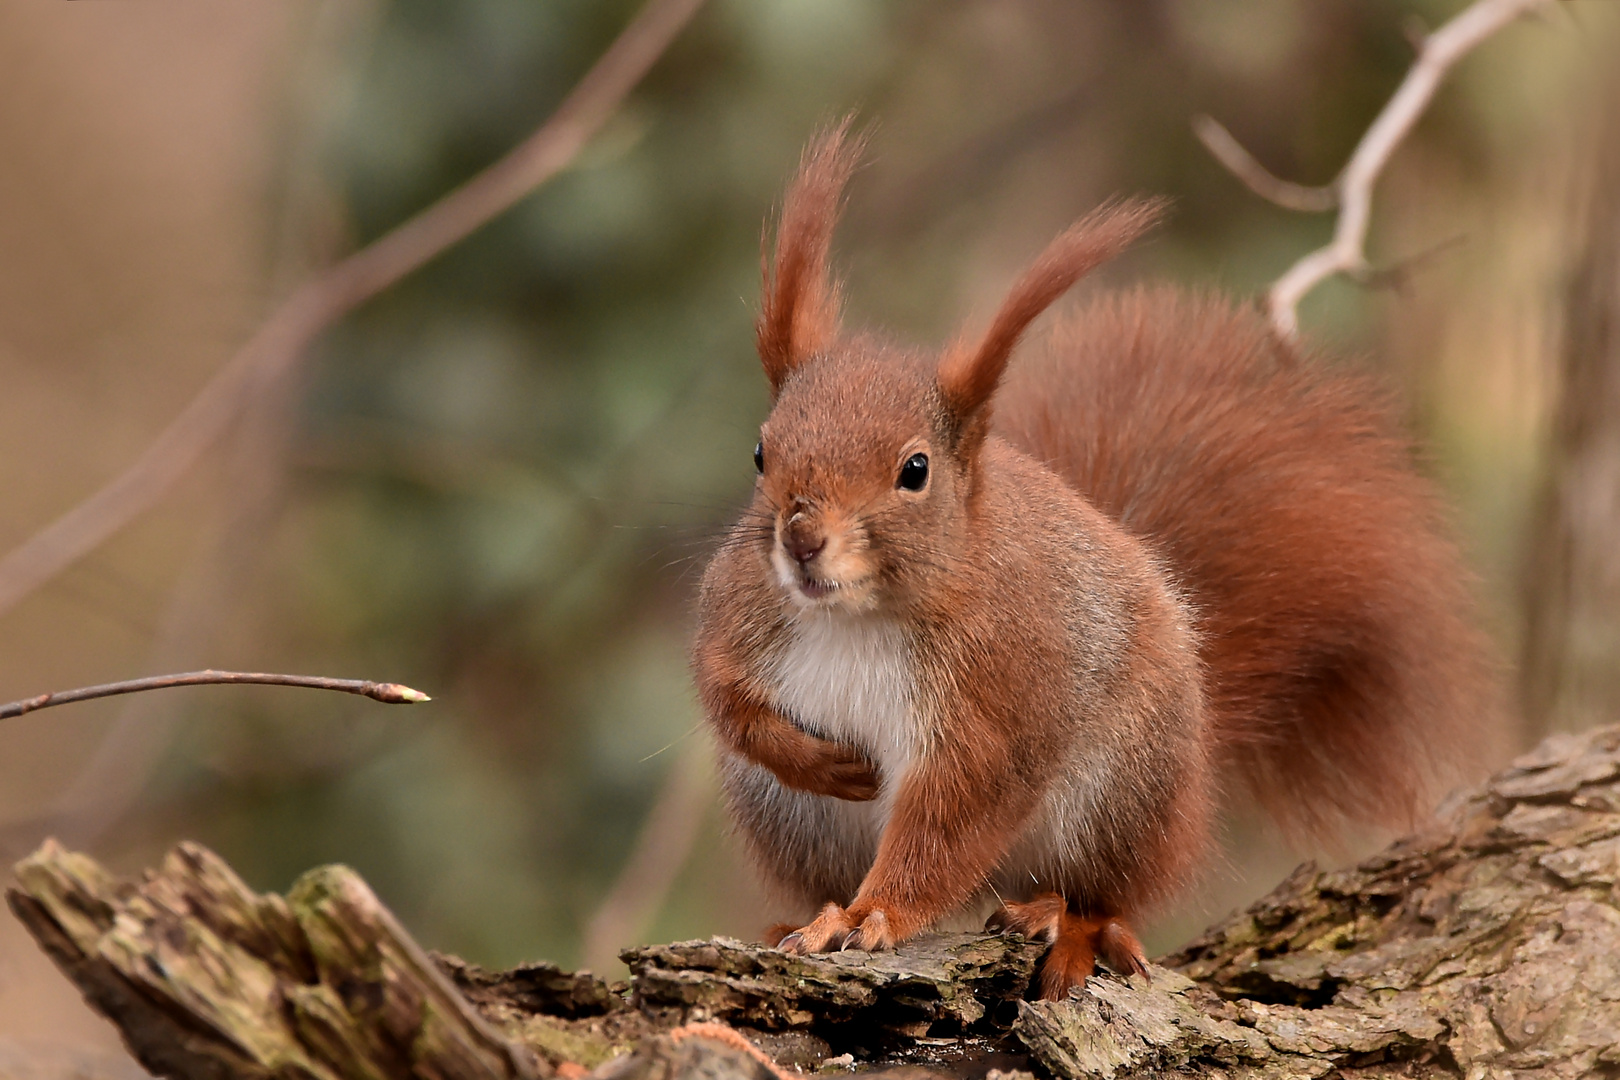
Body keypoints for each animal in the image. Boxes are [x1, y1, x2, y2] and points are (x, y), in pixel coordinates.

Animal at [691, 121, 1496, 999]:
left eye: (915, 470)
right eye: (761, 452)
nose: (801, 540)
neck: (853, 613)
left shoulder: (1001, 697)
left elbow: (951, 820)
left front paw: (879, 915)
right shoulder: (740, 610)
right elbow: (724, 696)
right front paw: (820, 767)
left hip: (1120, 790)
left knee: (1103, 891)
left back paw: (1067, 925)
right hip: (790, 819)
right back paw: (802, 917)